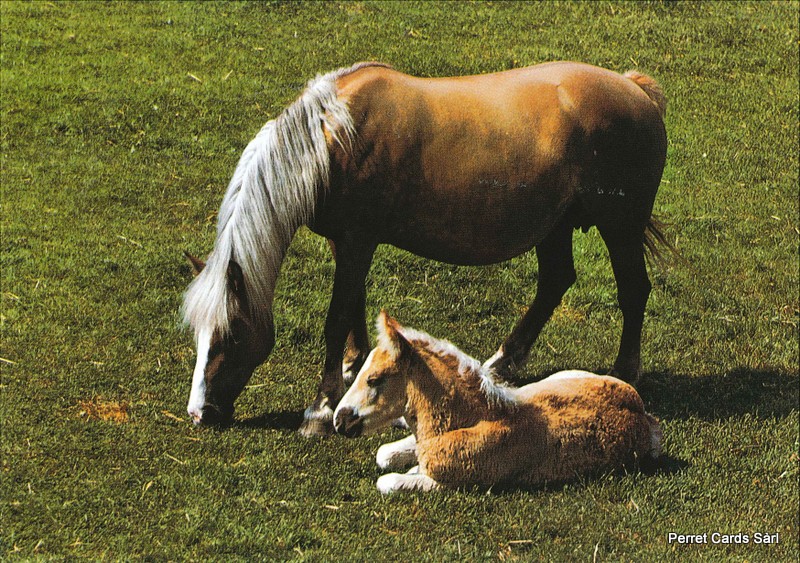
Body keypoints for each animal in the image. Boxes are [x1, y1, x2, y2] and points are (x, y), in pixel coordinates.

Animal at [181, 61, 668, 436]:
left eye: (232, 333)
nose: (199, 413)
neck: (335, 138)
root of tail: (634, 88)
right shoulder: (348, 244)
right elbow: (354, 306)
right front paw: (354, 369)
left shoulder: (358, 240)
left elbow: (336, 319)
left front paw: (319, 409)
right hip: (557, 226)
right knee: (555, 281)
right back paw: (502, 364)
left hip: (620, 226)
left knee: (632, 290)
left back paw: (624, 372)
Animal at [333, 311, 662, 493]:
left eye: (374, 379)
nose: (339, 420)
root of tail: (644, 416)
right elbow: (386, 454)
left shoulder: (460, 483)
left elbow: (389, 481)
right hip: (550, 380)